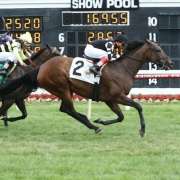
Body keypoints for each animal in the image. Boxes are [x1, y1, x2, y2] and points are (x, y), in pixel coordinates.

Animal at [0, 39, 174, 136]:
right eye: (158, 49)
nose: (170, 63)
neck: (122, 69)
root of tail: (41, 68)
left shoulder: (110, 99)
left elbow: (121, 117)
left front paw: (101, 120)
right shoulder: (117, 96)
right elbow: (138, 106)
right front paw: (142, 130)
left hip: (64, 90)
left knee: (65, 109)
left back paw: (93, 124)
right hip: (62, 87)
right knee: (68, 109)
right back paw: (92, 126)